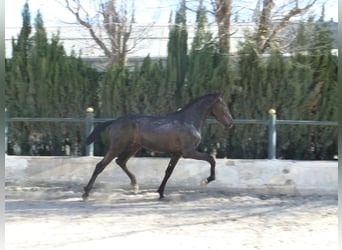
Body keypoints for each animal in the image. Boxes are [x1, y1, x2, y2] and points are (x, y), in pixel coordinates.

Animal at [82, 93, 232, 200]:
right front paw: (205, 181)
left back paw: (135, 185)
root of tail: (114, 121)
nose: (230, 122)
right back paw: (86, 193)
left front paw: (160, 193)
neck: (188, 121)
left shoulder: (177, 153)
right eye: (223, 105)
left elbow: (168, 172)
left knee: (121, 161)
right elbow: (211, 159)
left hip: (134, 146)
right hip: (117, 147)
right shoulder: (188, 152)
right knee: (101, 165)